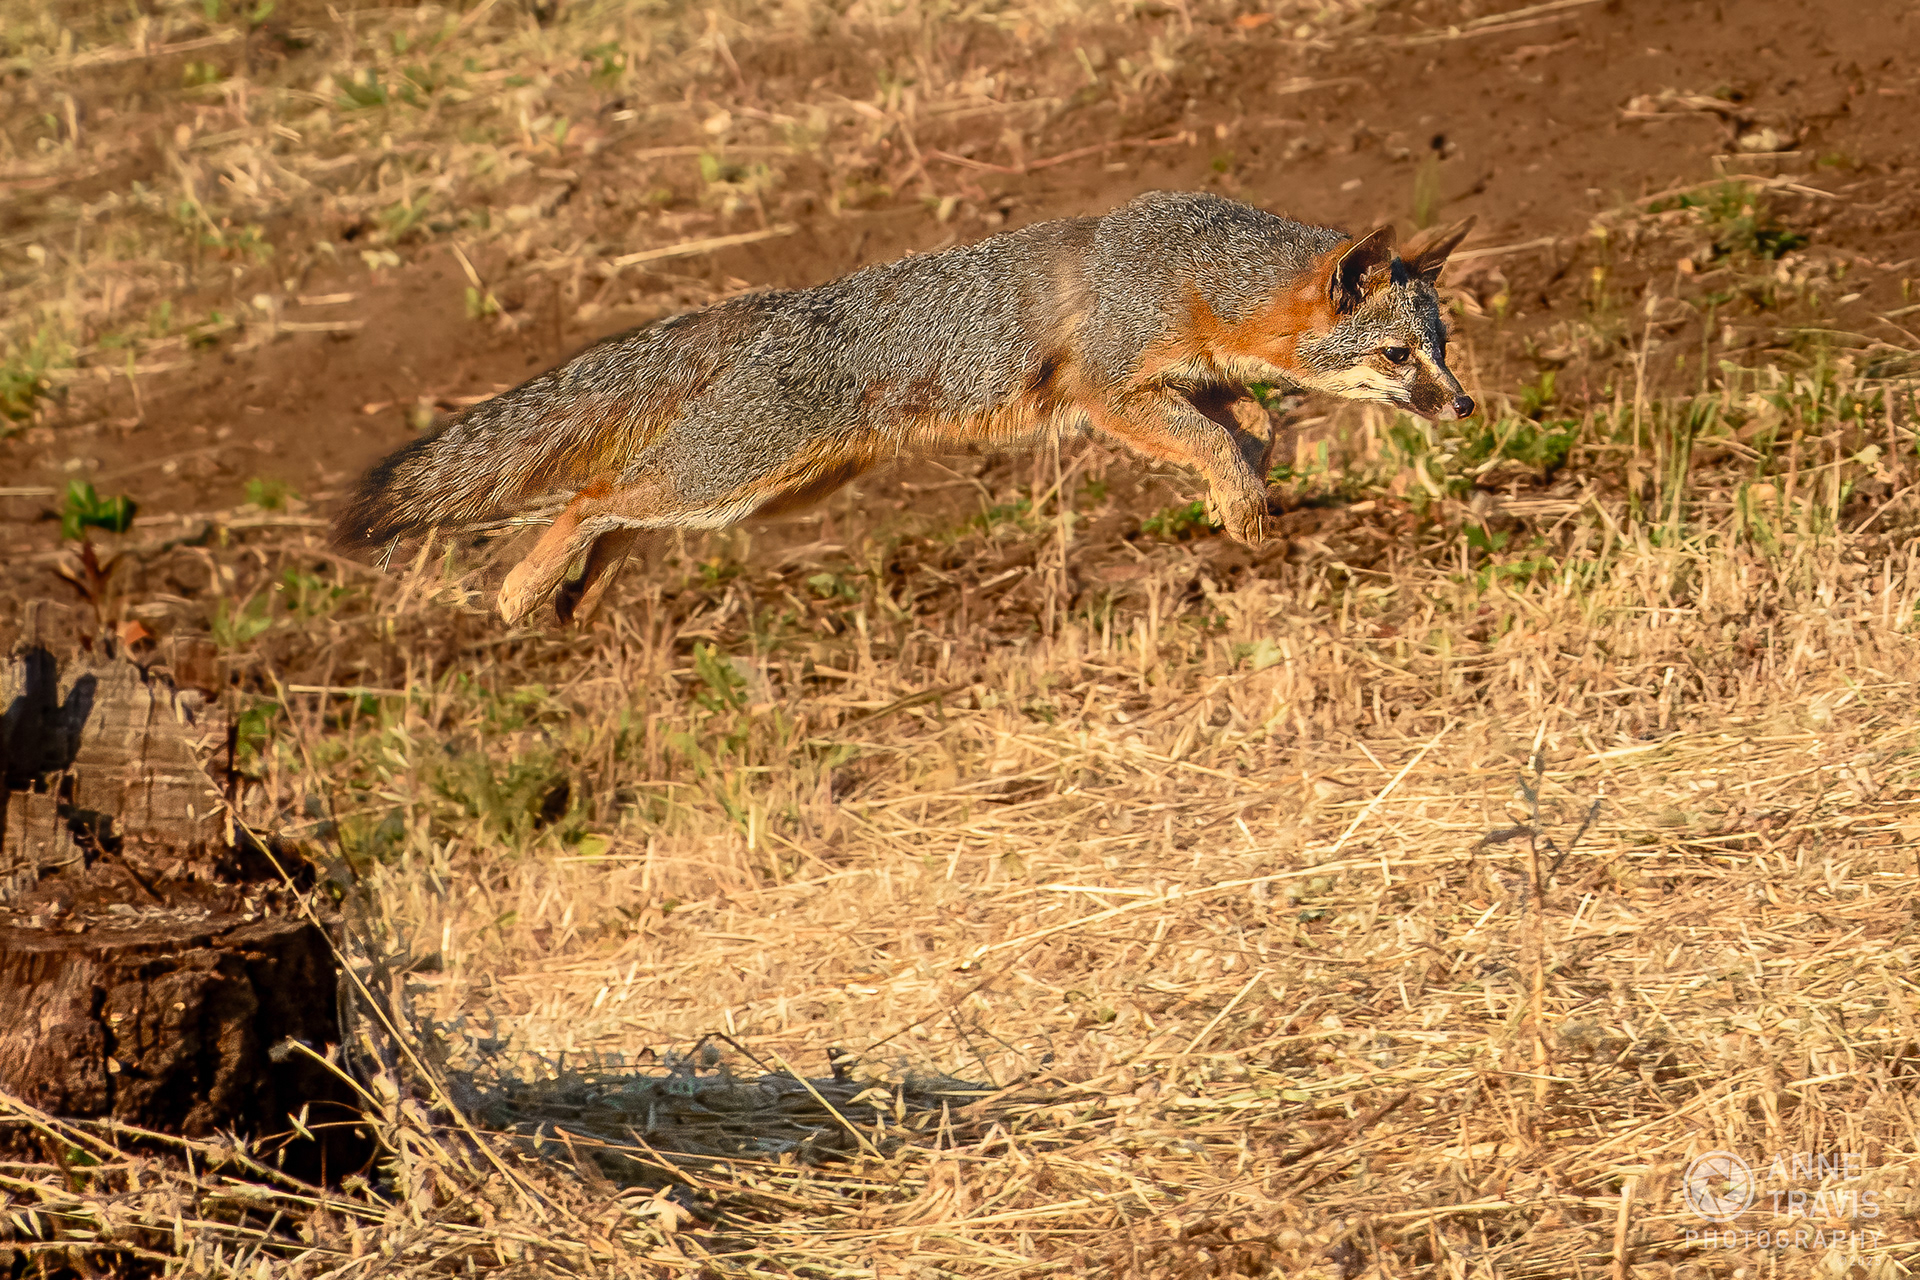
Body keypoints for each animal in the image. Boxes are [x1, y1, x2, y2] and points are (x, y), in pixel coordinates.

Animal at [334, 190, 1475, 625]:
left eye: (1444, 348)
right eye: (1397, 355)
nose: (1464, 408)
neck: (1200, 274)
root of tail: (772, 303)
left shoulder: (1192, 379)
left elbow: (1256, 426)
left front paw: (1251, 498)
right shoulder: (1108, 392)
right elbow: (1217, 438)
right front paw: (1241, 500)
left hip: (762, 496)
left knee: (612, 508)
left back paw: (575, 594)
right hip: (731, 481)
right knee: (590, 494)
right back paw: (522, 589)